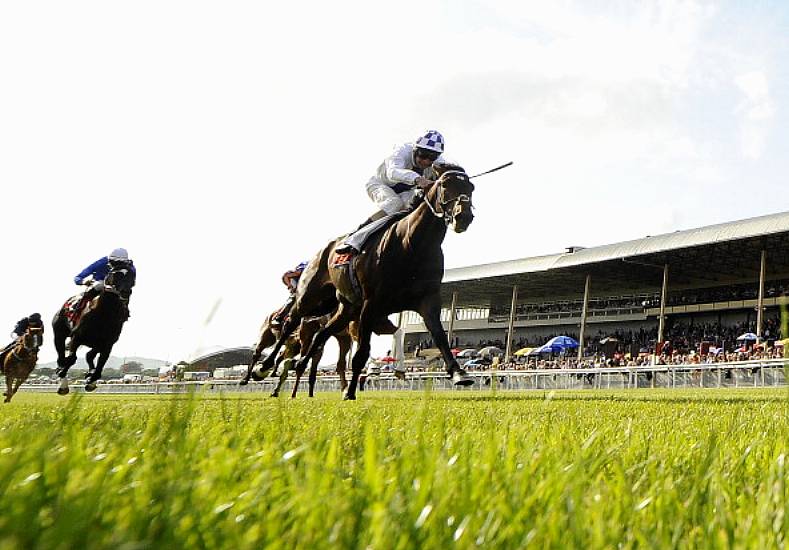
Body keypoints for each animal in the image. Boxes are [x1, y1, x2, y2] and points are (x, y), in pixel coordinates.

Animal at [258, 164, 474, 402]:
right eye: (445, 184)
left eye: (471, 188)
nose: (464, 216)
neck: (411, 245)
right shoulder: (371, 304)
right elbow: (361, 352)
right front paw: (350, 391)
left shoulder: (427, 300)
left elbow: (440, 336)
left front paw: (458, 373)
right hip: (312, 298)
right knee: (291, 322)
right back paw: (264, 366)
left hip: (345, 308)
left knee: (321, 334)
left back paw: (300, 365)